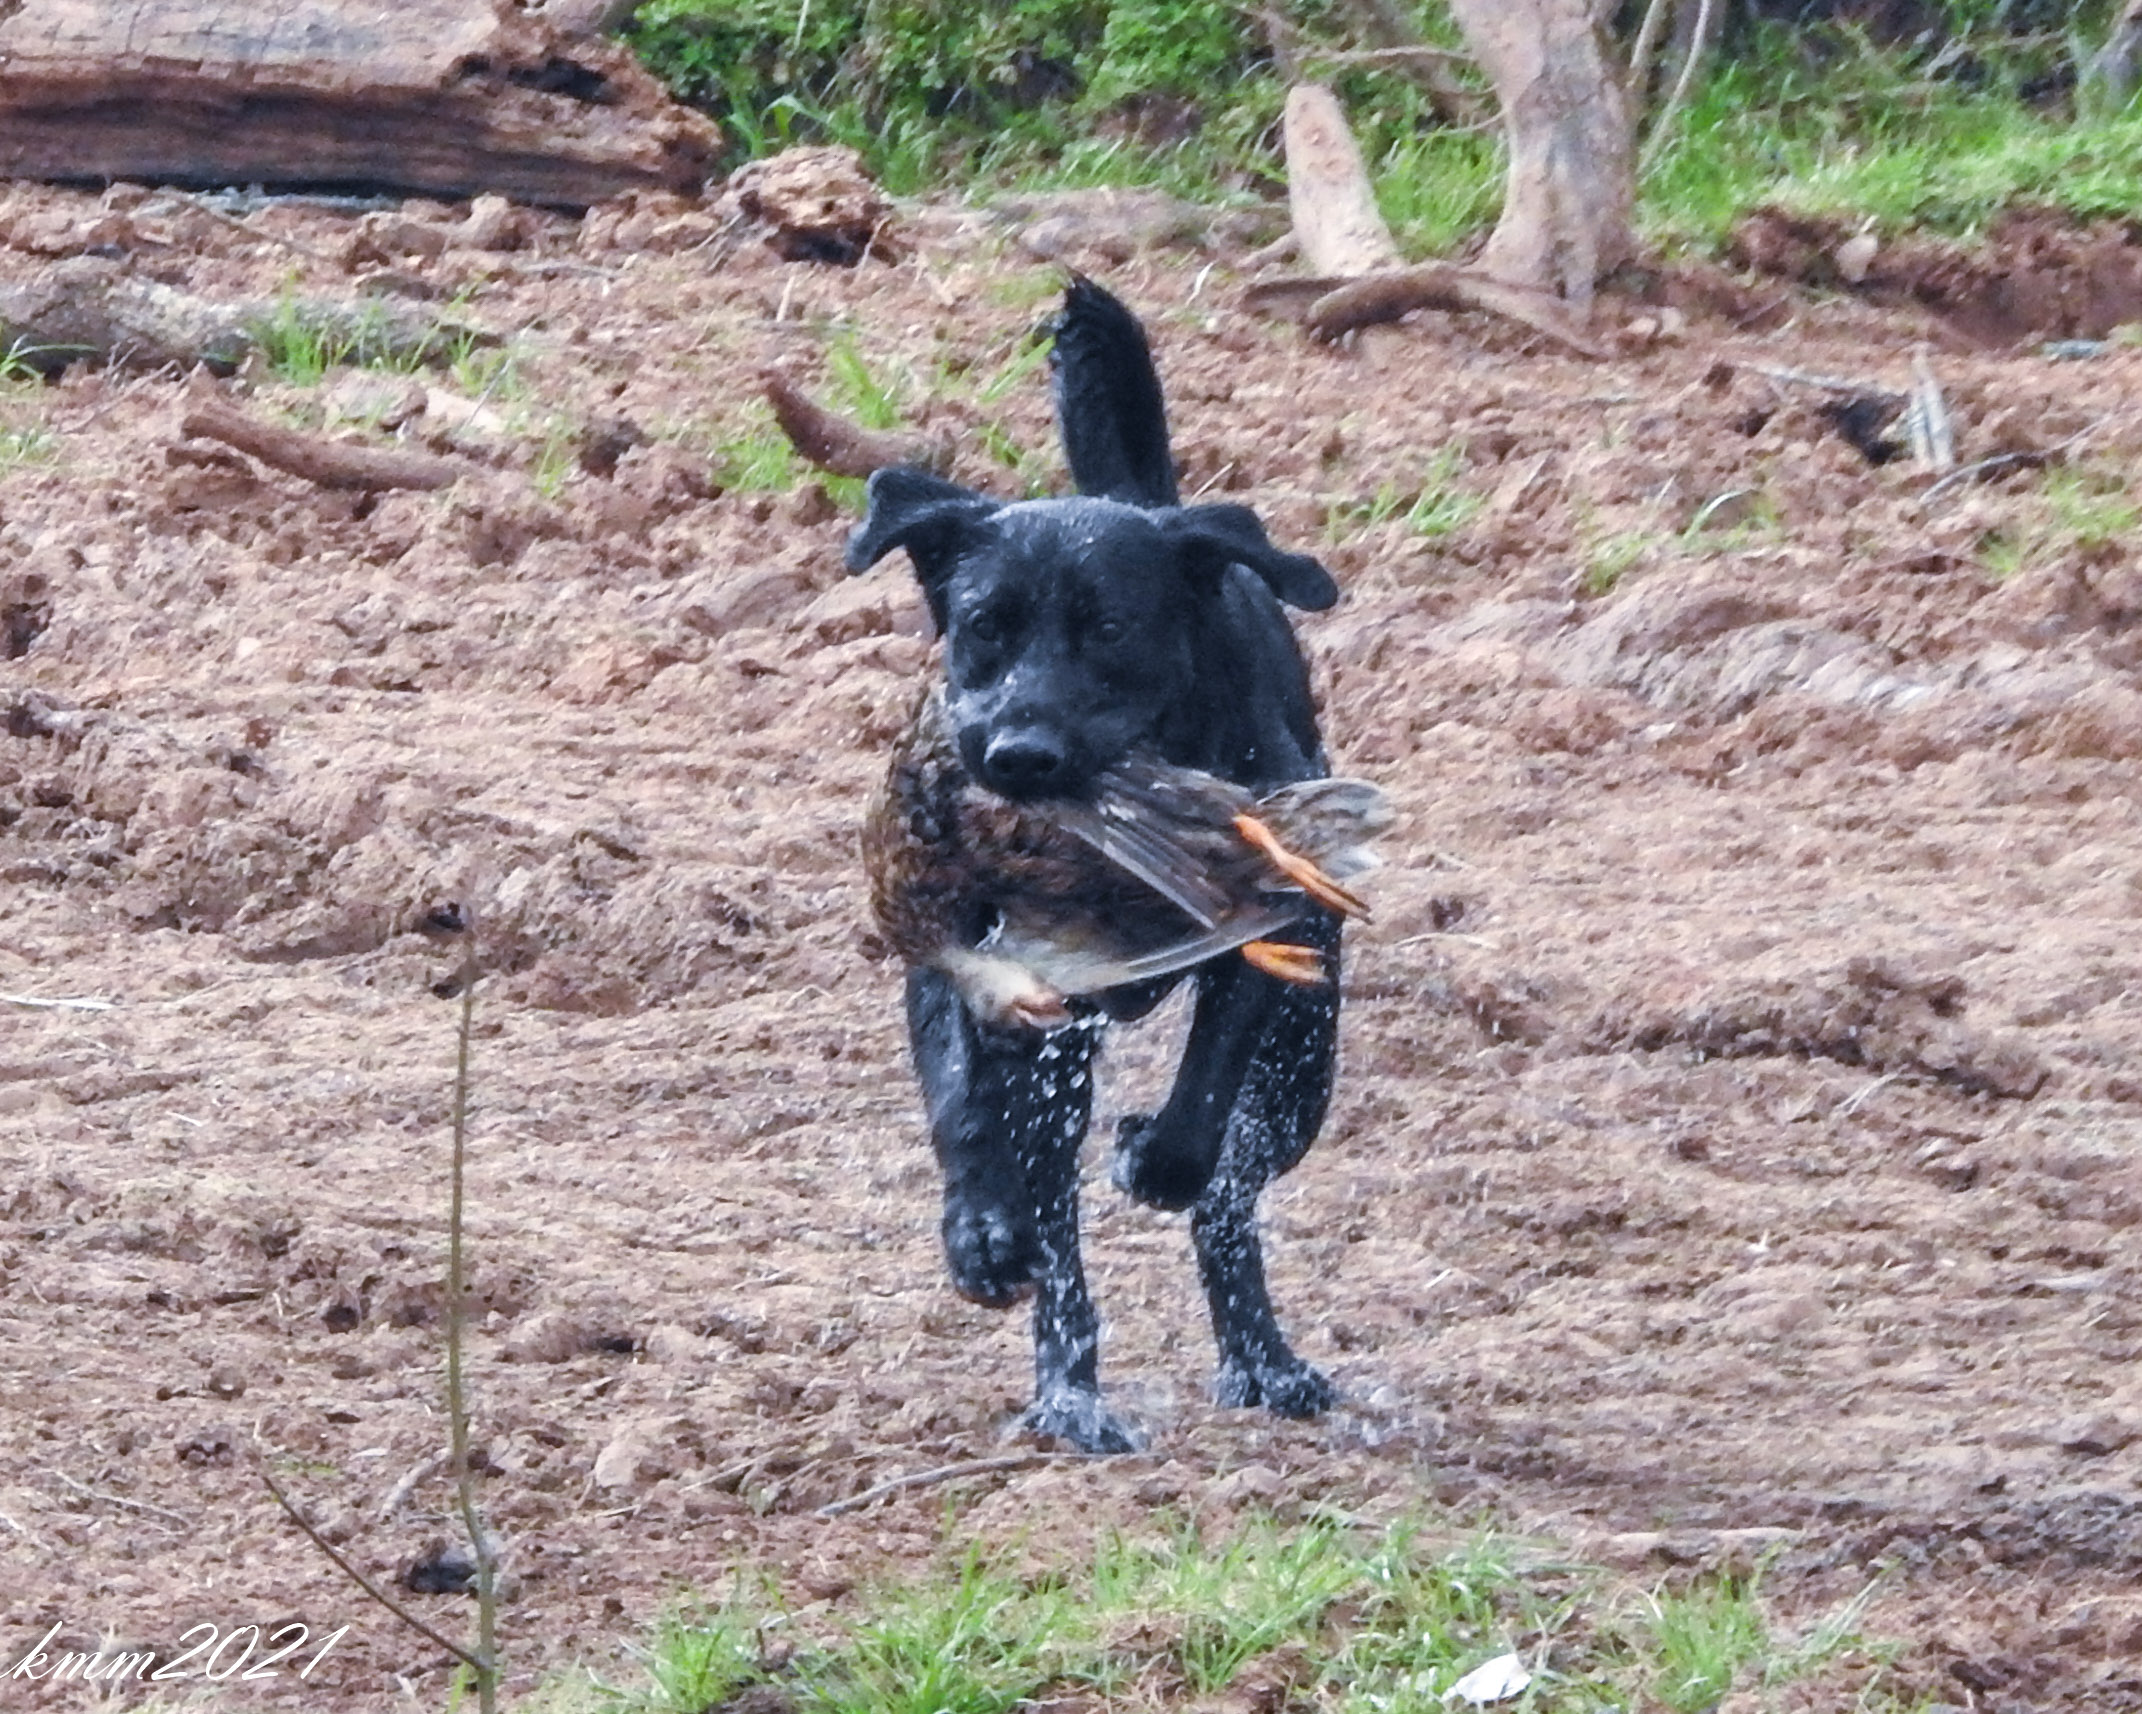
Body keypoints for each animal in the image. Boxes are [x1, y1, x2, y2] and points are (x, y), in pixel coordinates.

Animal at [848, 278, 1336, 1448]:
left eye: (1110, 628)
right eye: (983, 625)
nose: (1017, 756)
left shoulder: (1263, 945)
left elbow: (1203, 1105)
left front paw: (1154, 1153)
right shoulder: (958, 963)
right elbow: (959, 1101)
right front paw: (980, 1230)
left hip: (1306, 1073)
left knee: (1229, 1203)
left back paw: (1263, 1362)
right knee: (1063, 1237)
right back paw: (1070, 1392)